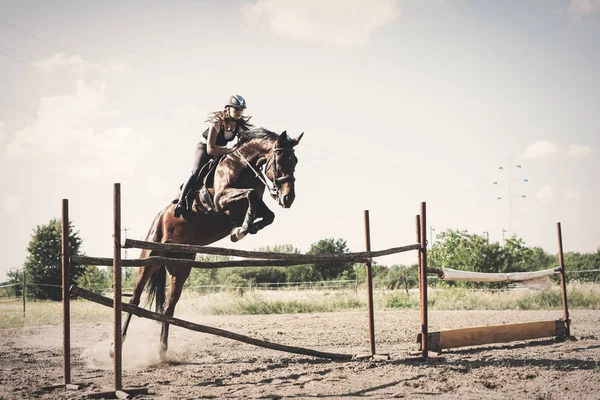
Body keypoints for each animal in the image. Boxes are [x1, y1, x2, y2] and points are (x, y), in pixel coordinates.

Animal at [119, 129, 302, 360]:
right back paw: (116, 347)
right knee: (134, 300)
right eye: (279, 160)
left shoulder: (256, 205)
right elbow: (250, 195)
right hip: (150, 257)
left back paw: (162, 351)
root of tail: (158, 217)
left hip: (180, 266)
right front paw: (241, 229)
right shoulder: (221, 201)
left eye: (295, 161)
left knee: (169, 307)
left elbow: (268, 215)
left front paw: (243, 229)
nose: (288, 198)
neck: (242, 166)